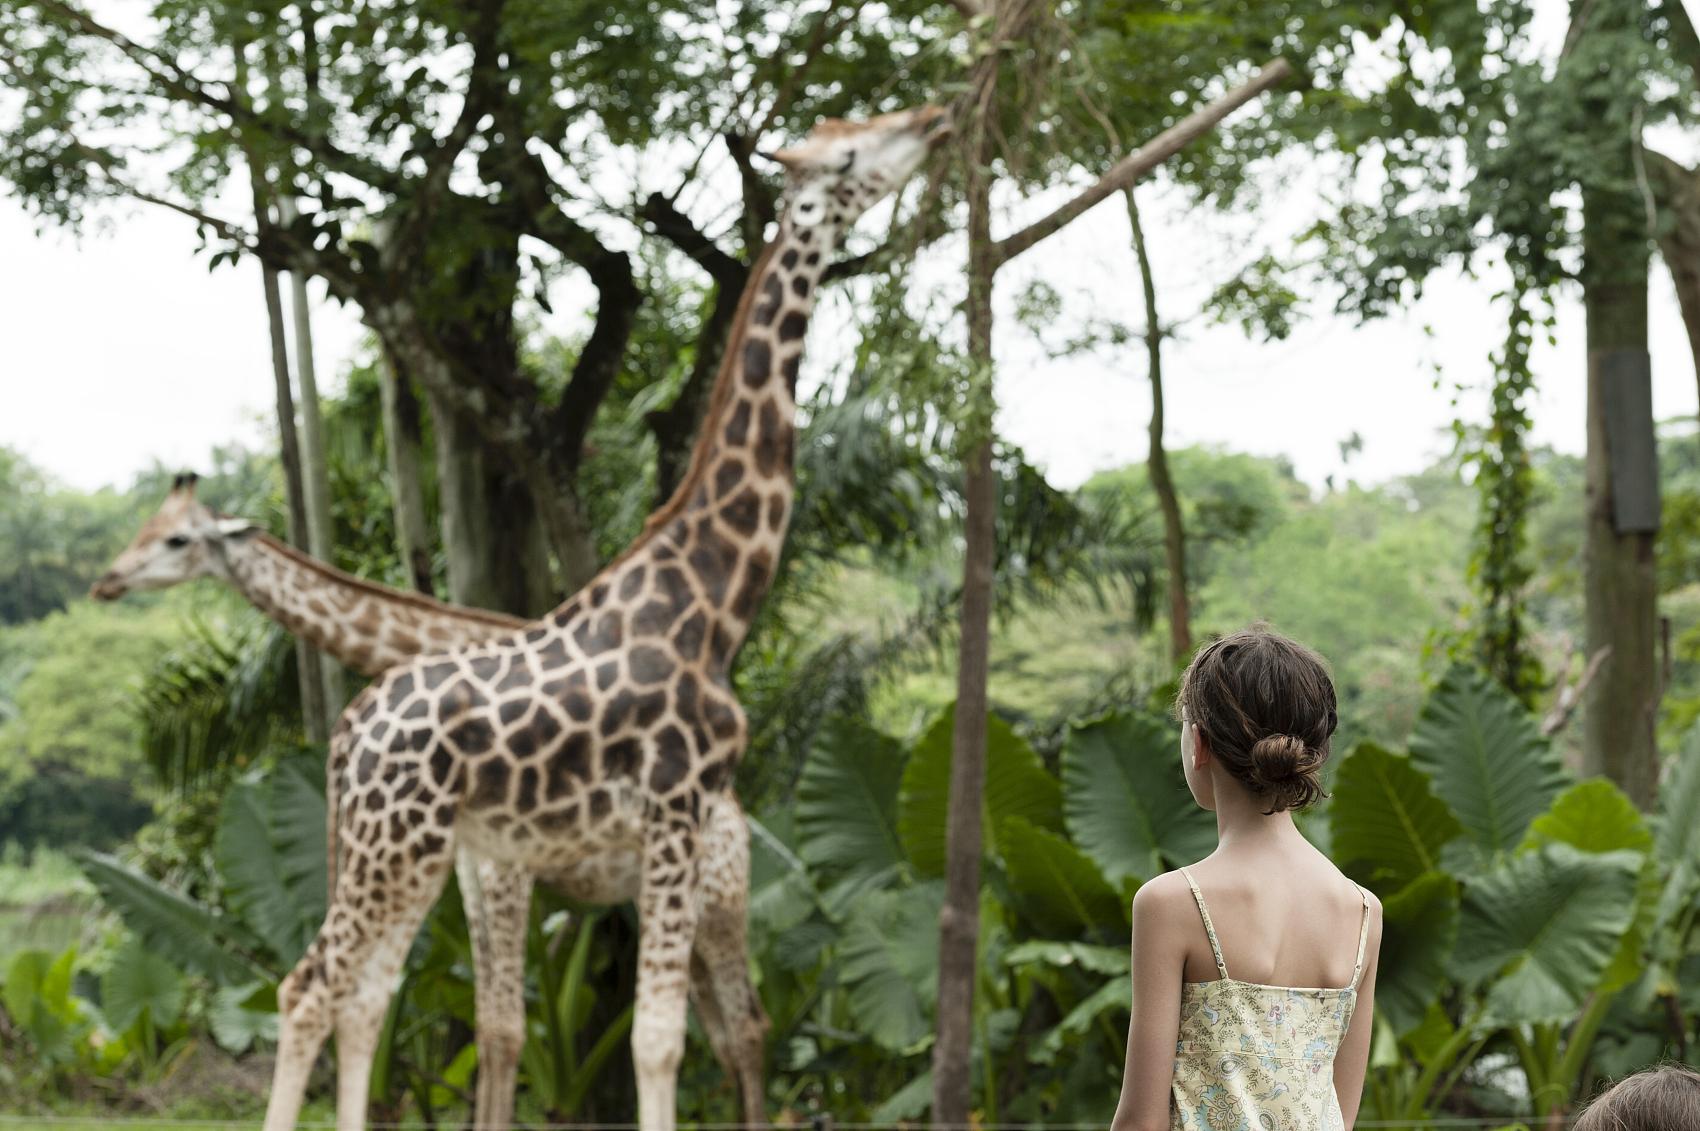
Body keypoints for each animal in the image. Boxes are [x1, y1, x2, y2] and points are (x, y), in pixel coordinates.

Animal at [265, 105, 958, 1129]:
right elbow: (656, 1039)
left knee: (361, 993)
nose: (936, 118)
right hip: (401, 844)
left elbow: (656, 1034)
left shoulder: (654, 835)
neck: (715, 601)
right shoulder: (673, 807)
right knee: (311, 985)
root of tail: (349, 736)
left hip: (406, 849)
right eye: (847, 156)